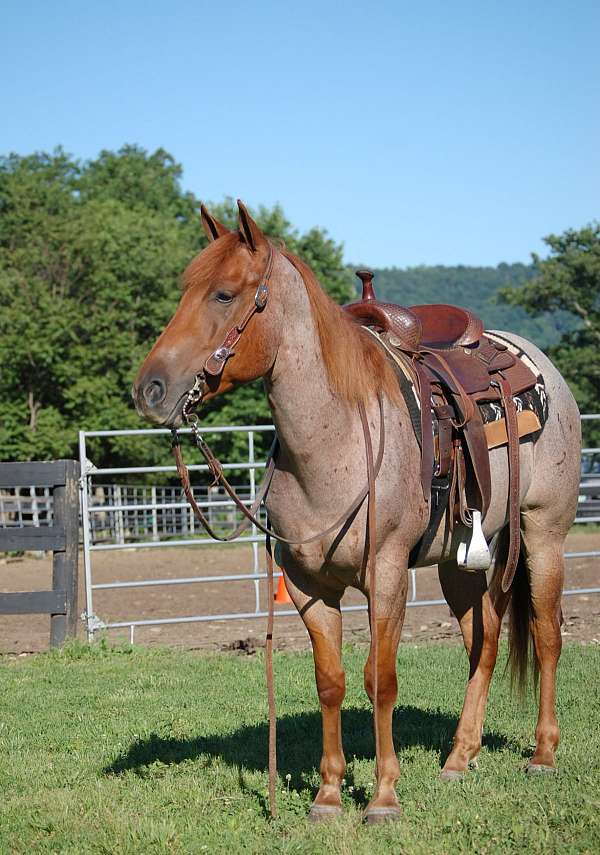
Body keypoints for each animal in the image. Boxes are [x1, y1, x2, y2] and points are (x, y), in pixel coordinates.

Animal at [132, 200, 581, 823]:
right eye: (184, 290)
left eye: (223, 294)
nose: (150, 389)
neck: (334, 439)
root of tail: (541, 367)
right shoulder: (307, 586)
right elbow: (332, 682)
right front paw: (327, 794)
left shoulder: (386, 575)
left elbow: (380, 680)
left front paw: (384, 795)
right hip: (457, 561)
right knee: (483, 643)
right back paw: (459, 758)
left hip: (543, 535)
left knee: (545, 634)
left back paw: (542, 754)